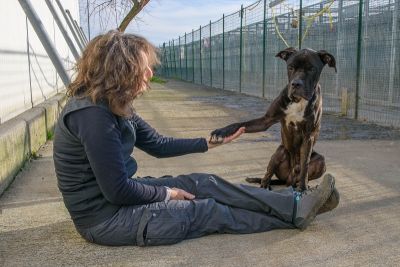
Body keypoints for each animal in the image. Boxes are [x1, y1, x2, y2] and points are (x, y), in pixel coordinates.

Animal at [211, 47, 336, 192]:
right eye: (290, 67)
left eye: (311, 69)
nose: (296, 84)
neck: (298, 101)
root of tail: (288, 179)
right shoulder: (266, 120)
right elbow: (240, 124)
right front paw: (221, 131)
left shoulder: (308, 136)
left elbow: (305, 163)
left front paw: (303, 188)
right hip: (279, 152)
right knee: (267, 175)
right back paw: (265, 185)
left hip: (320, 161)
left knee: (302, 172)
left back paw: (304, 185)